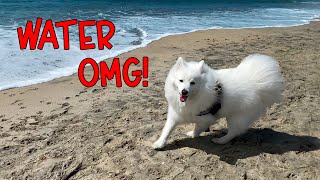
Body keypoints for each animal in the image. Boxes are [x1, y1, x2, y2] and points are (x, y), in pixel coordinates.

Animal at [154, 53, 284, 149]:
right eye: (181, 80)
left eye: (192, 83)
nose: (184, 91)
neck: (192, 99)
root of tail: (257, 83)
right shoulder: (175, 114)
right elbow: (167, 130)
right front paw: (159, 143)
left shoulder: (205, 119)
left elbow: (197, 129)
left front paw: (193, 134)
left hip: (236, 116)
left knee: (234, 132)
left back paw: (220, 140)